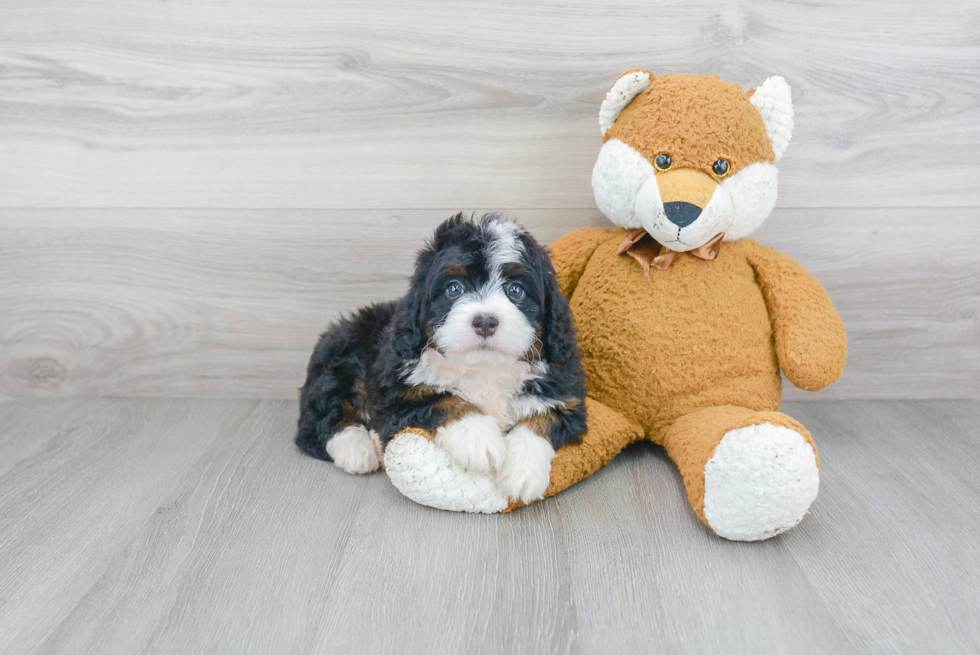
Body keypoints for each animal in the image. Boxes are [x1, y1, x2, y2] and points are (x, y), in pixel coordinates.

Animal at [298, 214, 584, 502]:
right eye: (454, 288)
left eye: (516, 290)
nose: (485, 321)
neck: (483, 368)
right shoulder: (396, 396)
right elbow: (443, 398)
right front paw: (478, 438)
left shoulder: (568, 397)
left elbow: (543, 417)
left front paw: (523, 472)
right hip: (341, 361)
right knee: (322, 419)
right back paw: (357, 449)